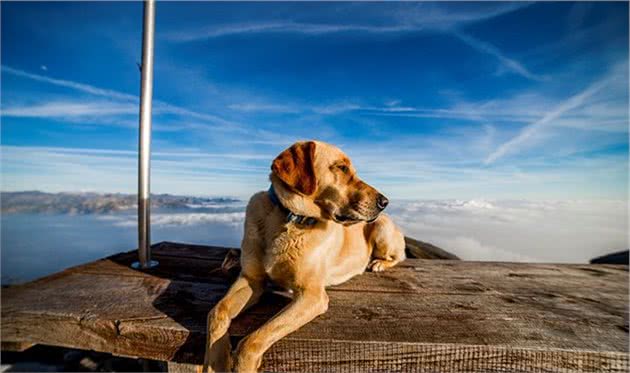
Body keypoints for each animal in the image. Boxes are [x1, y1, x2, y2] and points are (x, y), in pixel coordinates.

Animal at [205, 140, 408, 372]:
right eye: (342, 168)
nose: (385, 201)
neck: (290, 220)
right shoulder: (251, 280)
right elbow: (217, 312)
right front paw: (216, 362)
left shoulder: (312, 296)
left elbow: (252, 341)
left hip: (381, 227)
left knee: (398, 256)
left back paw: (378, 263)